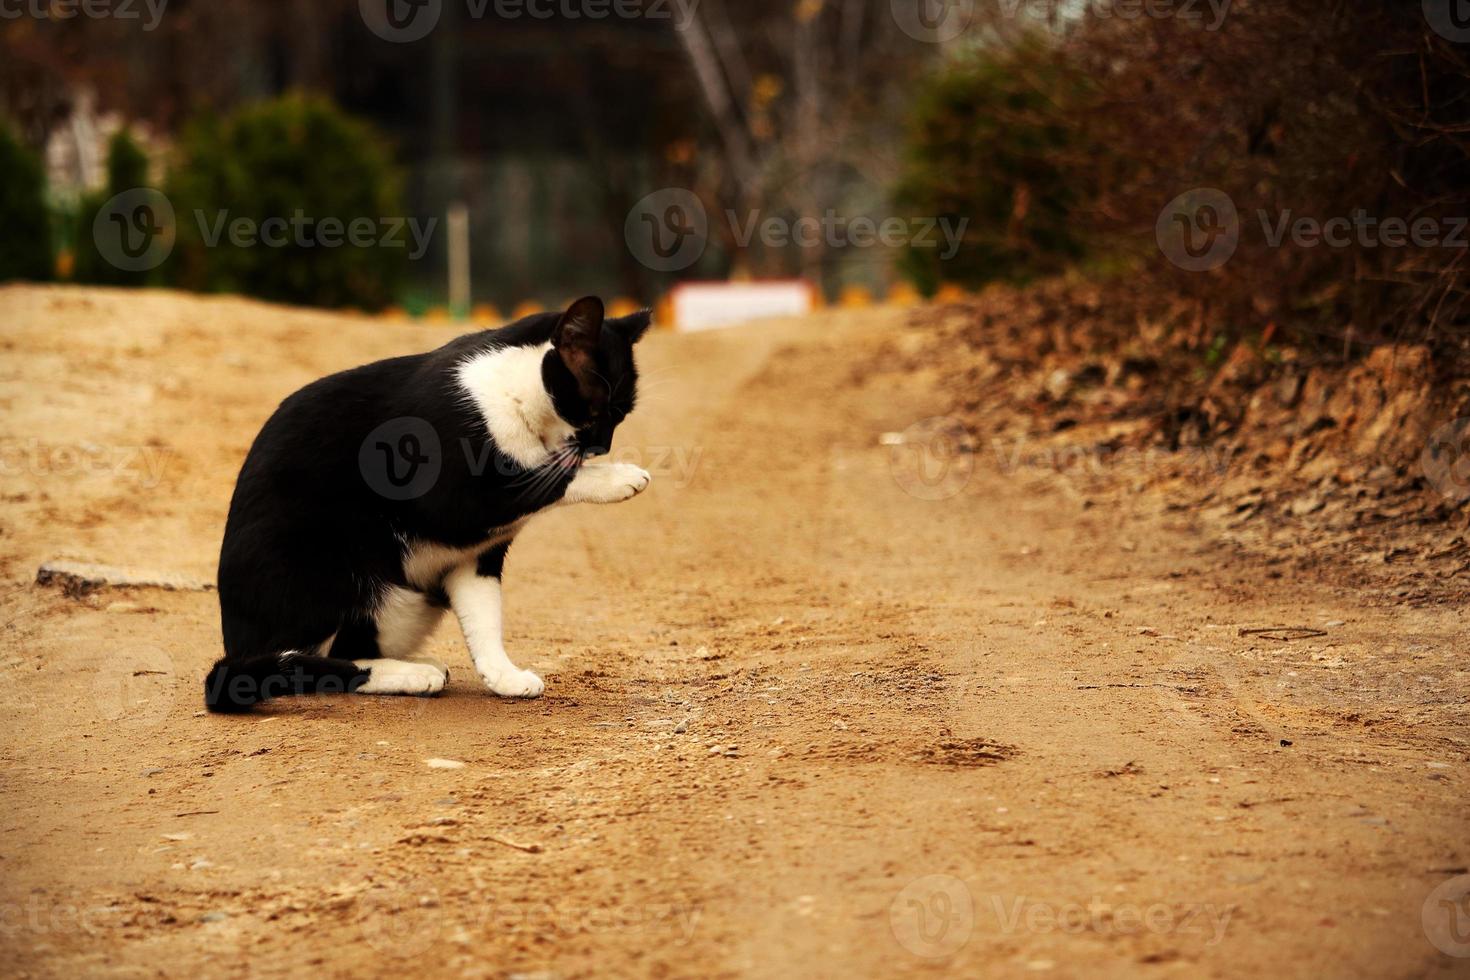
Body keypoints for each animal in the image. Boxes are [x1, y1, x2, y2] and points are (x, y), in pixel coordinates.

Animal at [204, 296, 652, 714]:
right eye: (596, 411)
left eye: (621, 417)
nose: (602, 446)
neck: (508, 392)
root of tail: (238, 644)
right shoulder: (457, 500)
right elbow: (548, 480)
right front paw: (621, 477)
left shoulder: (476, 552)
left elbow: (483, 614)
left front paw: (503, 675)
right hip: (340, 565)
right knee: (313, 661)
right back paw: (413, 674)